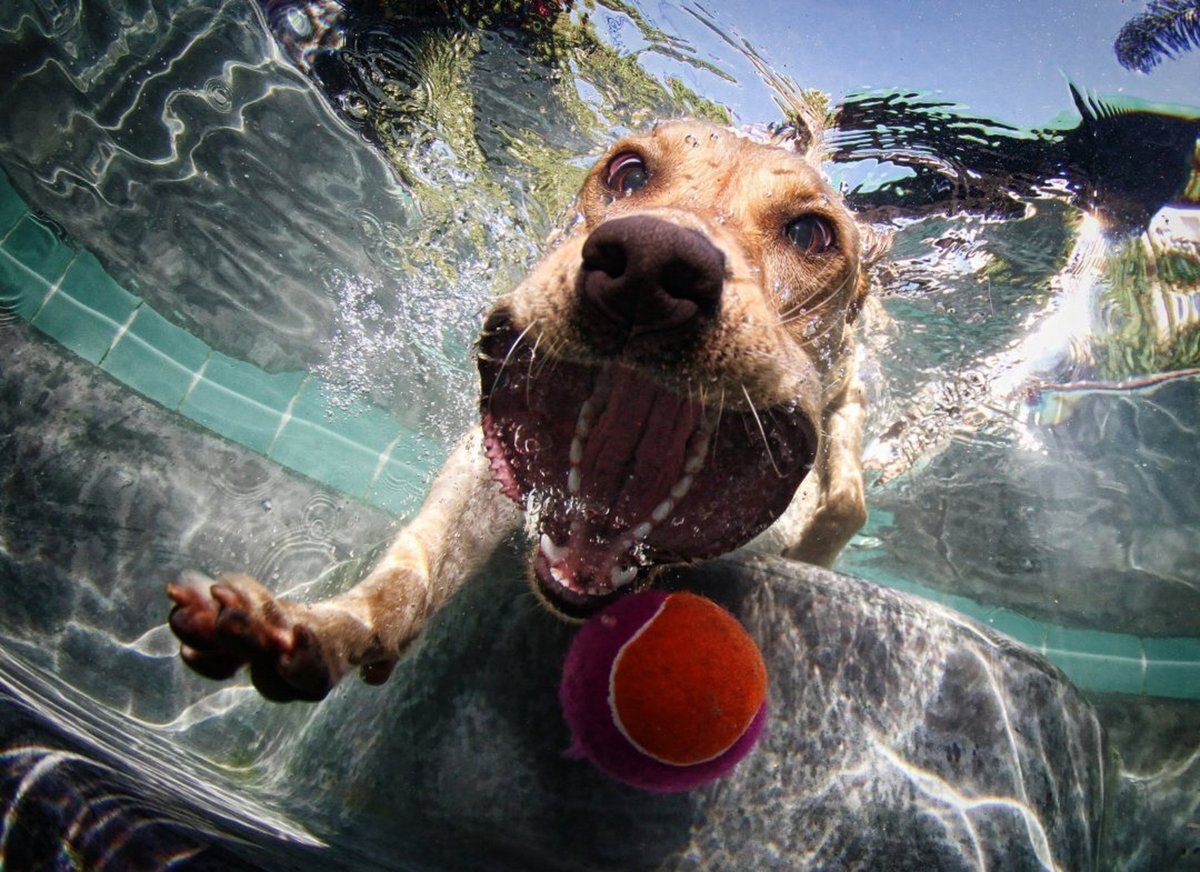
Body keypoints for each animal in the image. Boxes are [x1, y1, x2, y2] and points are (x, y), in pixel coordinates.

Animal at [166, 119, 883, 700]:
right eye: (628, 171)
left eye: (811, 234)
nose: (651, 266)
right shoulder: (481, 467)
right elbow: (412, 570)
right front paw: (326, 629)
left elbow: (845, 499)